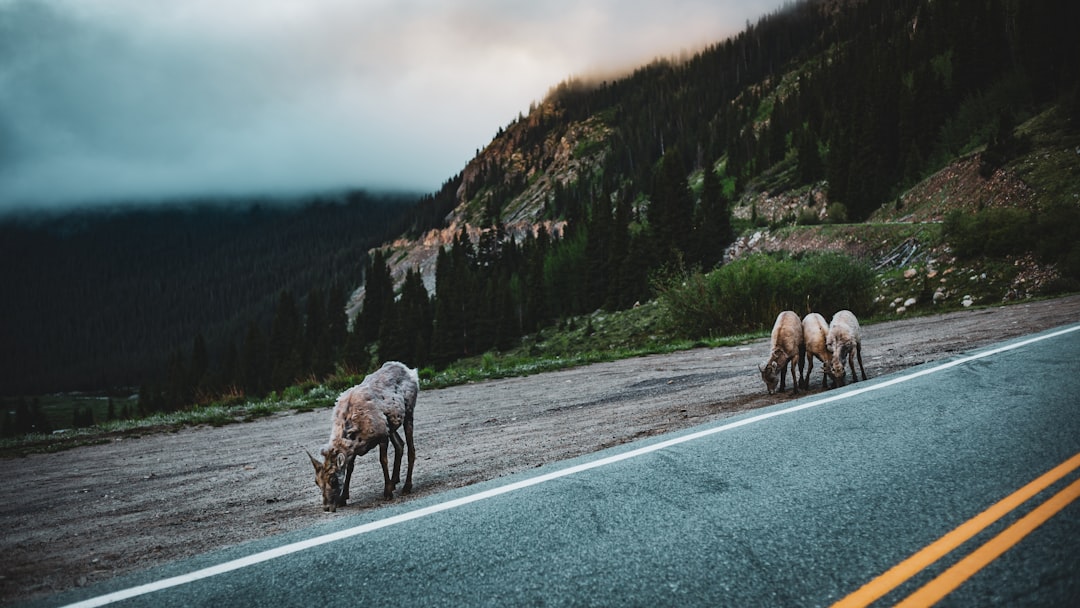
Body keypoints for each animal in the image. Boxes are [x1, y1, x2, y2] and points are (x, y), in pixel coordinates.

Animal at [308, 360, 421, 514]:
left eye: (333, 480)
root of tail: (410, 371)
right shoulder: (355, 447)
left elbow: (383, 461)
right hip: (392, 426)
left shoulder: (382, 435)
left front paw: (387, 492)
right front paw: (343, 498)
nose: (327, 507)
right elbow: (350, 467)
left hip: (408, 413)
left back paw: (406, 486)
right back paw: (395, 481)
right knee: (400, 445)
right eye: (316, 481)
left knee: (411, 449)